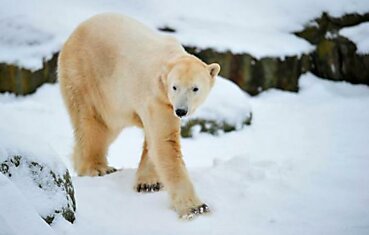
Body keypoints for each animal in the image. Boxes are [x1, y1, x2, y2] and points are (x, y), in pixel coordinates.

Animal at [57, 12, 218, 218]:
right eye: (175, 87)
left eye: (195, 88)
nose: (181, 111)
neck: (168, 62)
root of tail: (74, 33)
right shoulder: (158, 98)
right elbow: (165, 142)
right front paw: (196, 207)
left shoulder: (160, 102)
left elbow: (153, 140)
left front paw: (148, 183)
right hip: (86, 77)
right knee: (92, 124)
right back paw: (97, 168)